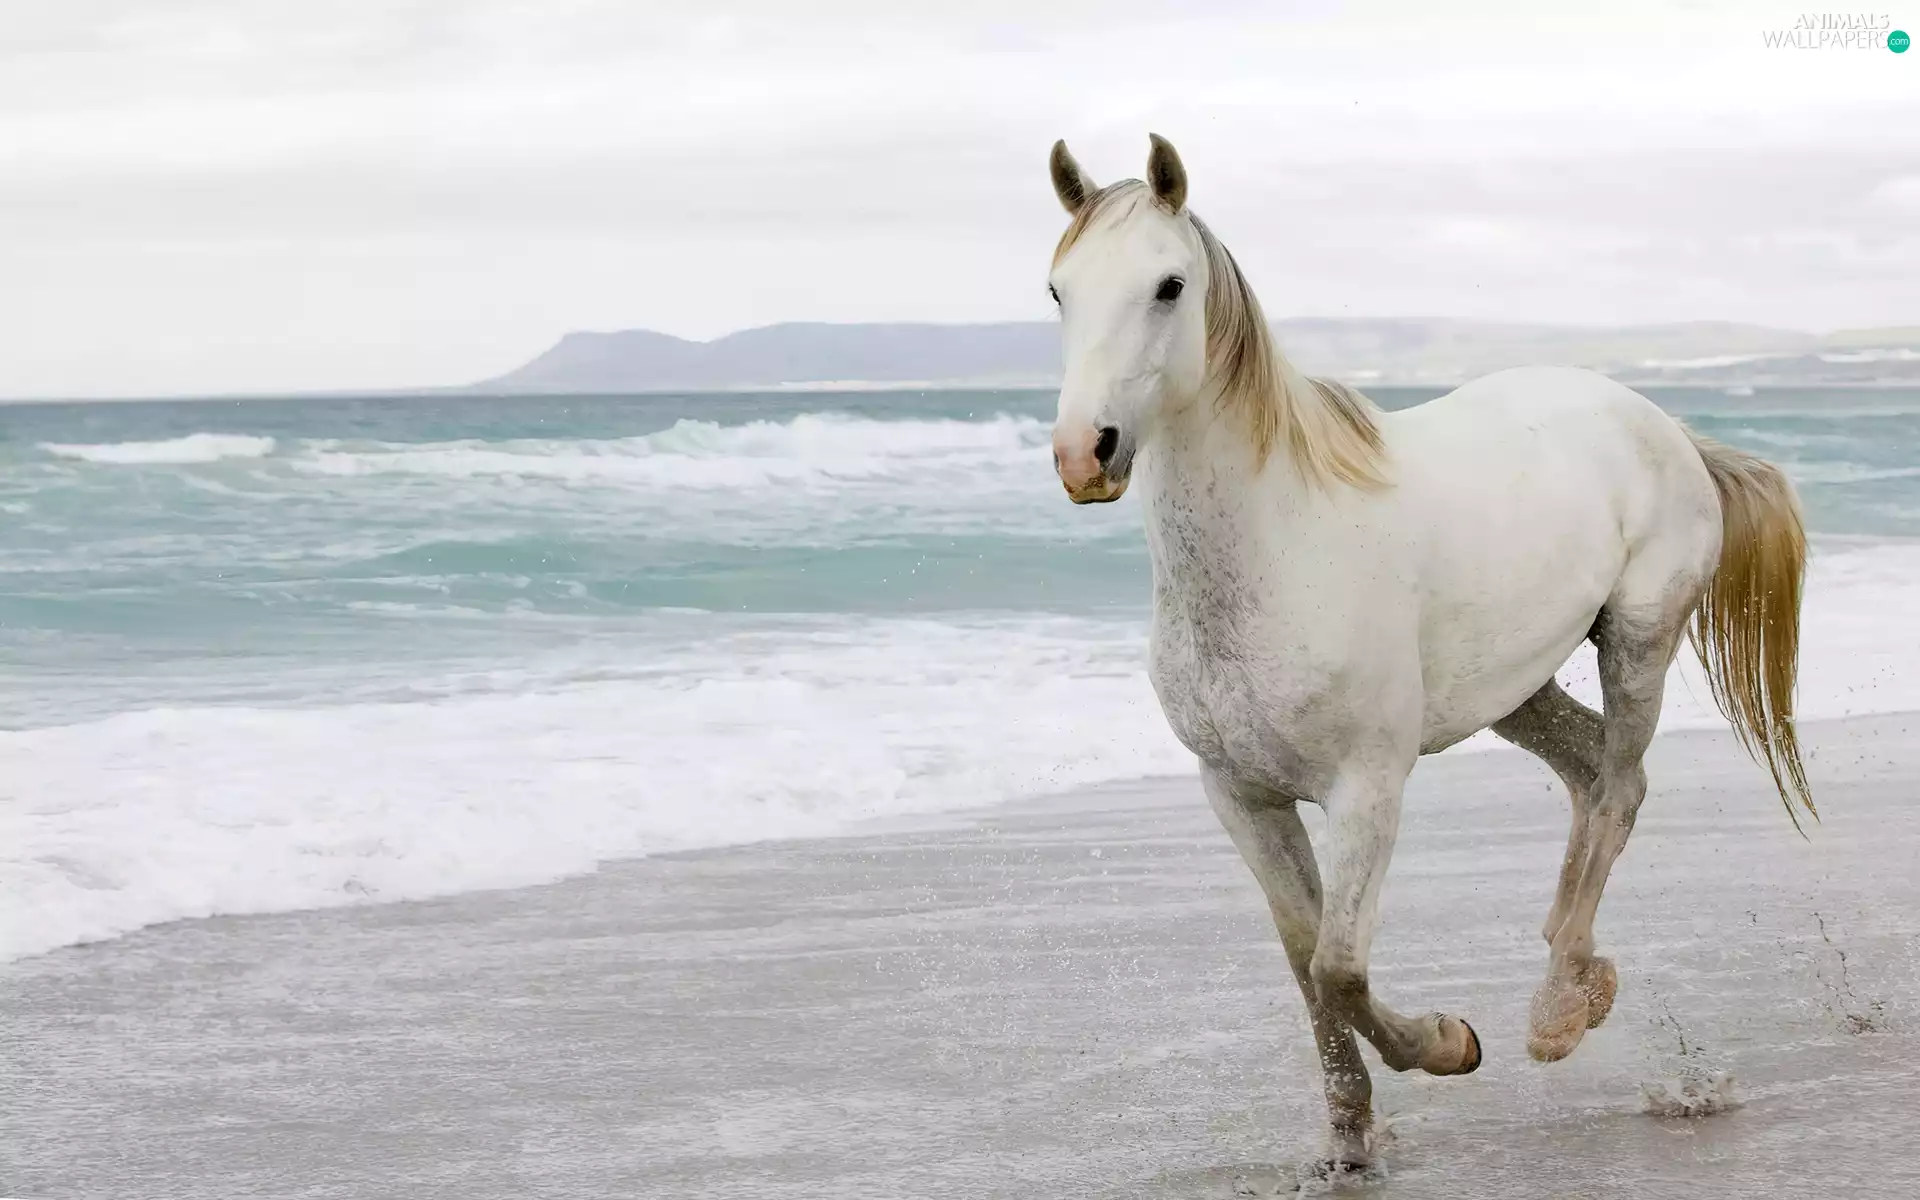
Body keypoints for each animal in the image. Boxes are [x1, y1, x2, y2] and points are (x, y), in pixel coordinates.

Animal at [1041, 134, 1813, 1173]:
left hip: (1638, 641)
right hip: (1516, 688)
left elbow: (1339, 965)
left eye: (1168, 285)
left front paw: (1451, 1044)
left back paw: (1557, 1012)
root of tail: (1660, 423)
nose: (1086, 453)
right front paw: (1348, 1138)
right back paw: (1577, 979)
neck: (1279, 541)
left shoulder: (1367, 787)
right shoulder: (1240, 794)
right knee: (1591, 774)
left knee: (1619, 787)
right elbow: (1304, 960)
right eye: (1059, 290)